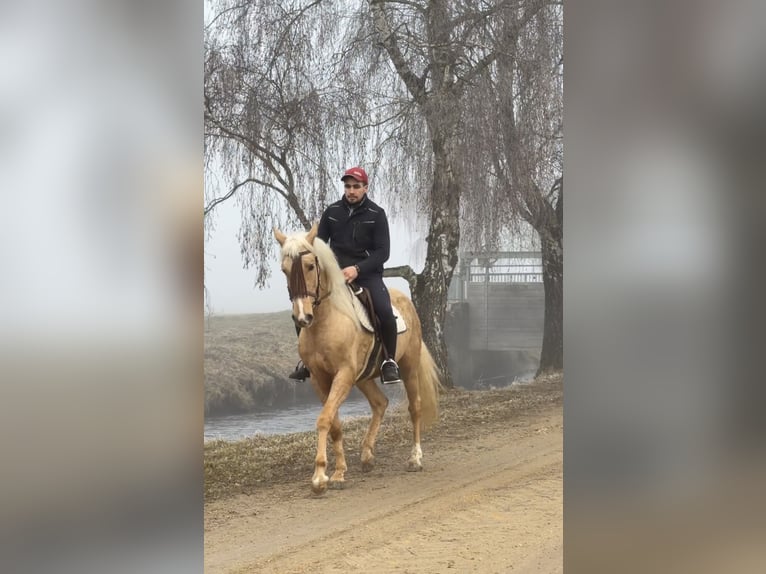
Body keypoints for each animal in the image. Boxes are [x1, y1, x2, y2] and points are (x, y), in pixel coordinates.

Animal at [274, 224, 441, 495]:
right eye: (284, 269)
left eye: (309, 266)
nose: (302, 317)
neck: (326, 322)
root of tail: (404, 299)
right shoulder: (320, 379)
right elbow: (334, 423)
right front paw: (339, 472)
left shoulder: (343, 375)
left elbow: (324, 420)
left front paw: (319, 477)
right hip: (364, 377)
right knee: (380, 403)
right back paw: (367, 456)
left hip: (408, 367)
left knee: (414, 407)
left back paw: (415, 459)